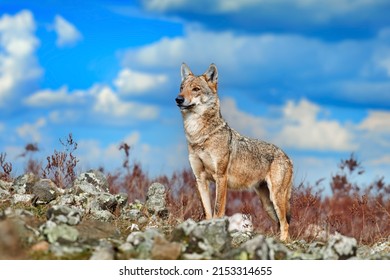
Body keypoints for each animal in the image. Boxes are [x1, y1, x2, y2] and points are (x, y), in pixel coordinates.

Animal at [176, 63, 292, 241]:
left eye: (196, 89)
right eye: (182, 88)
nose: (178, 99)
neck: (199, 137)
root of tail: (286, 156)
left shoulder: (220, 177)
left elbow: (218, 209)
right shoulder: (200, 178)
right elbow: (207, 211)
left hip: (276, 198)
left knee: (285, 224)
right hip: (267, 204)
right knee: (283, 224)